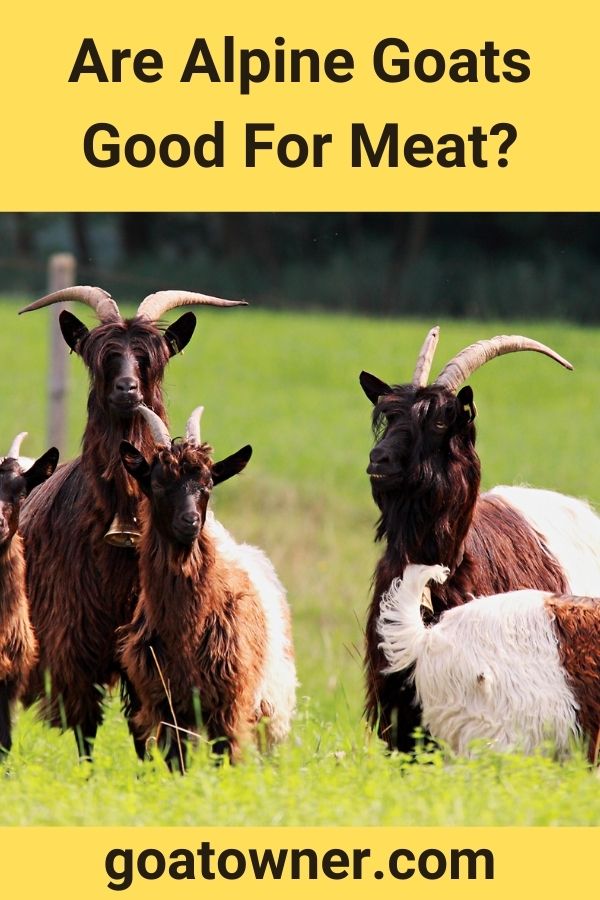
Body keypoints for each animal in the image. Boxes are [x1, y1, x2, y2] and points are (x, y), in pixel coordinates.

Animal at [18, 285, 246, 758]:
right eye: (102, 356)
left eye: (150, 358)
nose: (128, 389)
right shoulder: (75, 646)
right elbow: (86, 727)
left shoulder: (141, 650)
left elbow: (143, 727)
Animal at [117, 405, 296, 769]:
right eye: (157, 483)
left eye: (208, 483)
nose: (190, 521)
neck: (187, 631)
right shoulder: (167, 705)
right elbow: (176, 763)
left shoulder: (229, 704)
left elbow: (226, 758)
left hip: (271, 707)